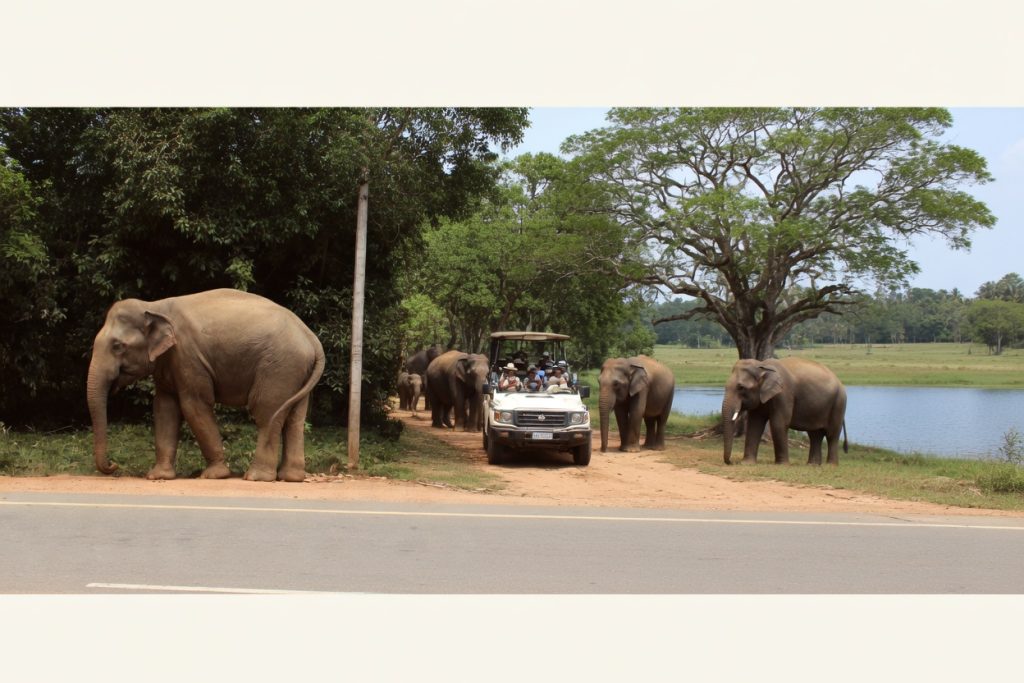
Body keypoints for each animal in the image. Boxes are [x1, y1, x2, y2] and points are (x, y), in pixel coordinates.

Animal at [87, 288, 325, 482]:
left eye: (117, 346)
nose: (114, 465)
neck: (154, 306)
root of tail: (311, 338)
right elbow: (164, 408)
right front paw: (157, 476)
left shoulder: (188, 356)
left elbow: (194, 405)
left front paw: (214, 475)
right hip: (296, 370)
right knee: (294, 418)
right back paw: (291, 477)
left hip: (279, 367)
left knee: (266, 413)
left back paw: (256, 477)